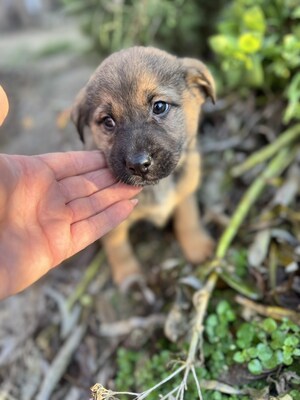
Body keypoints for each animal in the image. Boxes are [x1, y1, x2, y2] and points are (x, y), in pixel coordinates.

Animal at [71, 47, 214, 290]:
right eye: (108, 121)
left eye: (159, 106)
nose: (138, 165)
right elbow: (117, 246)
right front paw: (129, 275)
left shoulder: (186, 187)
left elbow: (188, 216)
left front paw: (196, 246)